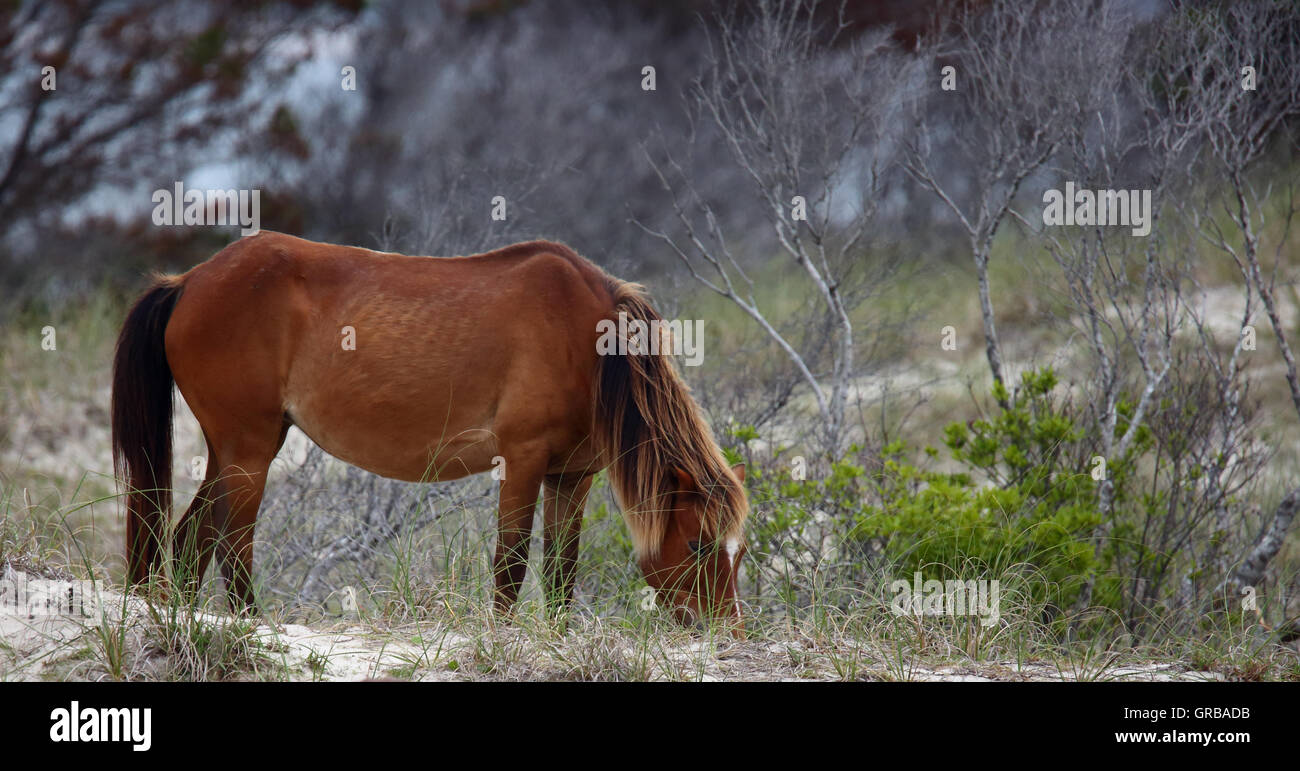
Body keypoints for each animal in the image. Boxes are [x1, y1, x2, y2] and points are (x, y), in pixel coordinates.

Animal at [113, 231, 754, 629]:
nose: (728, 633)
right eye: (698, 544)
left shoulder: (570, 478)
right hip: (246, 452)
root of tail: (188, 281)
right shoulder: (521, 461)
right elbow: (511, 564)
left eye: (736, 550)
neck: (591, 346)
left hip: (239, 450)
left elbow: (560, 573)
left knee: (191, 541)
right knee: (231, 545)